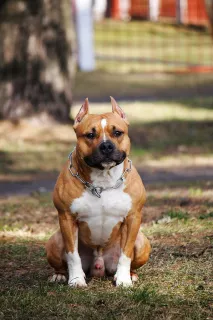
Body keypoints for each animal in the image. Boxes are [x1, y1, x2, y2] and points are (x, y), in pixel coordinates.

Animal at [45, 97, 151, 288]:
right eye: (90, 135)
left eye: (117, 132)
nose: (106, 146)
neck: (104, 182)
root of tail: (99, 266)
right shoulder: (66, 218)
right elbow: (72, 255)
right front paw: (76, 279)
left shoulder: (133, 218)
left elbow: (126, 254)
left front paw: (123, 279)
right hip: (55, 241)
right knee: (62, 262)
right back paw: (59, 275)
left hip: (142, 242)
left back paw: (131, 275)